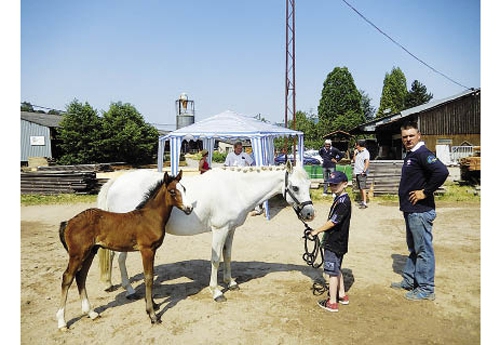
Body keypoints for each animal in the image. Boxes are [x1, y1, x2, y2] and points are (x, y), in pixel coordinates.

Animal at [97, 161, 312, 300]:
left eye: (309, 185)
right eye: (295, 187)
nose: (310, 213)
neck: (236, 188)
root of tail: (116, 181)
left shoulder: (230, 230)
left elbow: (227, 255)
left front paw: (230, 282)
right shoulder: (219, 230)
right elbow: (216, 259)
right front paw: (216, 291)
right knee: (120, 259)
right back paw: (130, 290)